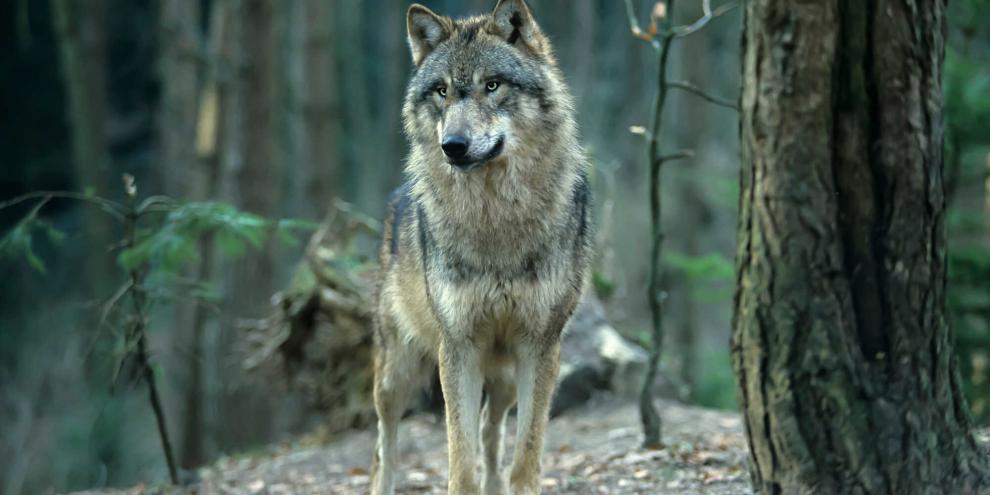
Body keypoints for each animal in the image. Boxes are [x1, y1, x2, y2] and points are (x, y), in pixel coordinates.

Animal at [370, 1, 592, 493]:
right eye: (441, 91)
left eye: (492, 85)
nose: (452, 146)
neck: (495, 221)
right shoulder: (458, 348)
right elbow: (461, 459)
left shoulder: (539, 348)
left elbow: (524, 454)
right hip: (396, 373)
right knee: (383, 444)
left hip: (505, 375)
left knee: (494, 431)